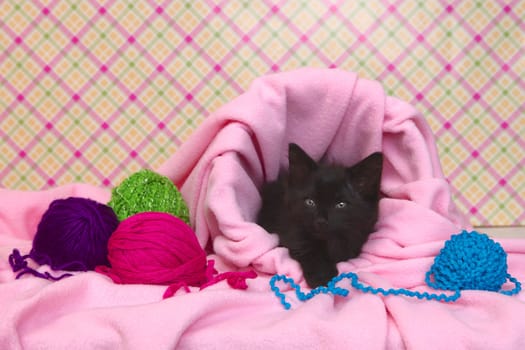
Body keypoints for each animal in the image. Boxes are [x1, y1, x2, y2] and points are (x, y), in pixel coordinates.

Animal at [256, 142, 382, 288]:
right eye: (310, 202)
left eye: (341, 204)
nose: (321, 221)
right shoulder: (290, 225)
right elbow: (305, 247)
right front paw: (322, 277)